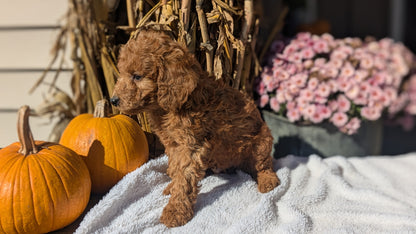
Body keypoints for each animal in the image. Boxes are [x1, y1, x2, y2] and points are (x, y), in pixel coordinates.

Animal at [110, 27, 280, 227]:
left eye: (137, 76)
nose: (113, 100)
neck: (169, 108)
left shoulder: (191, 146)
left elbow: (185, 178)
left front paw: (175, 211)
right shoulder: (173, 145)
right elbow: (176, 169)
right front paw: (172, 187)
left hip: (262, 140)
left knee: (264, 165)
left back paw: (268, 181)